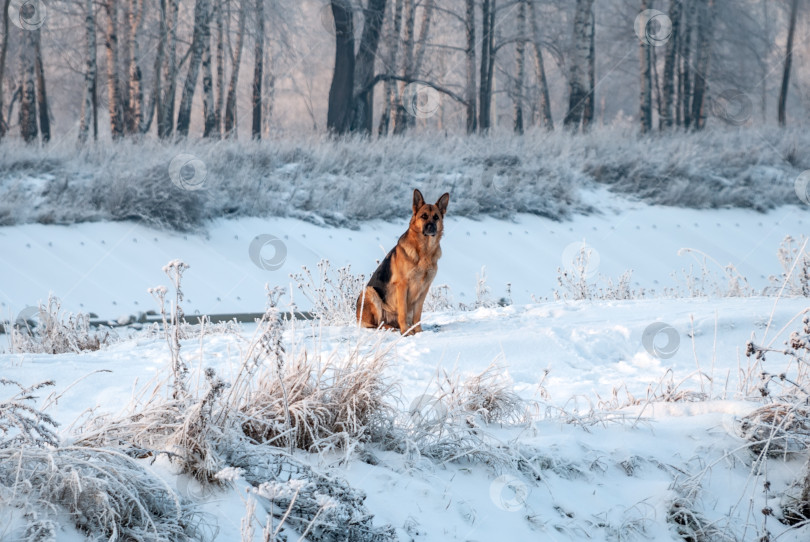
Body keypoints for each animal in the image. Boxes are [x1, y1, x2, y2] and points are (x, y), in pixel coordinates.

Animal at [356, 190, 448, 336]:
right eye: (424, 216)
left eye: (436, 217)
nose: (431, 227)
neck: (424, 252)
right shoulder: (402, 285)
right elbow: (403, 311)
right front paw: (406, 331)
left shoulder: (424, 288)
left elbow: (418, 314)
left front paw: (418, 331)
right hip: (371, 292)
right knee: (378, 324)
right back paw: (393, 328)